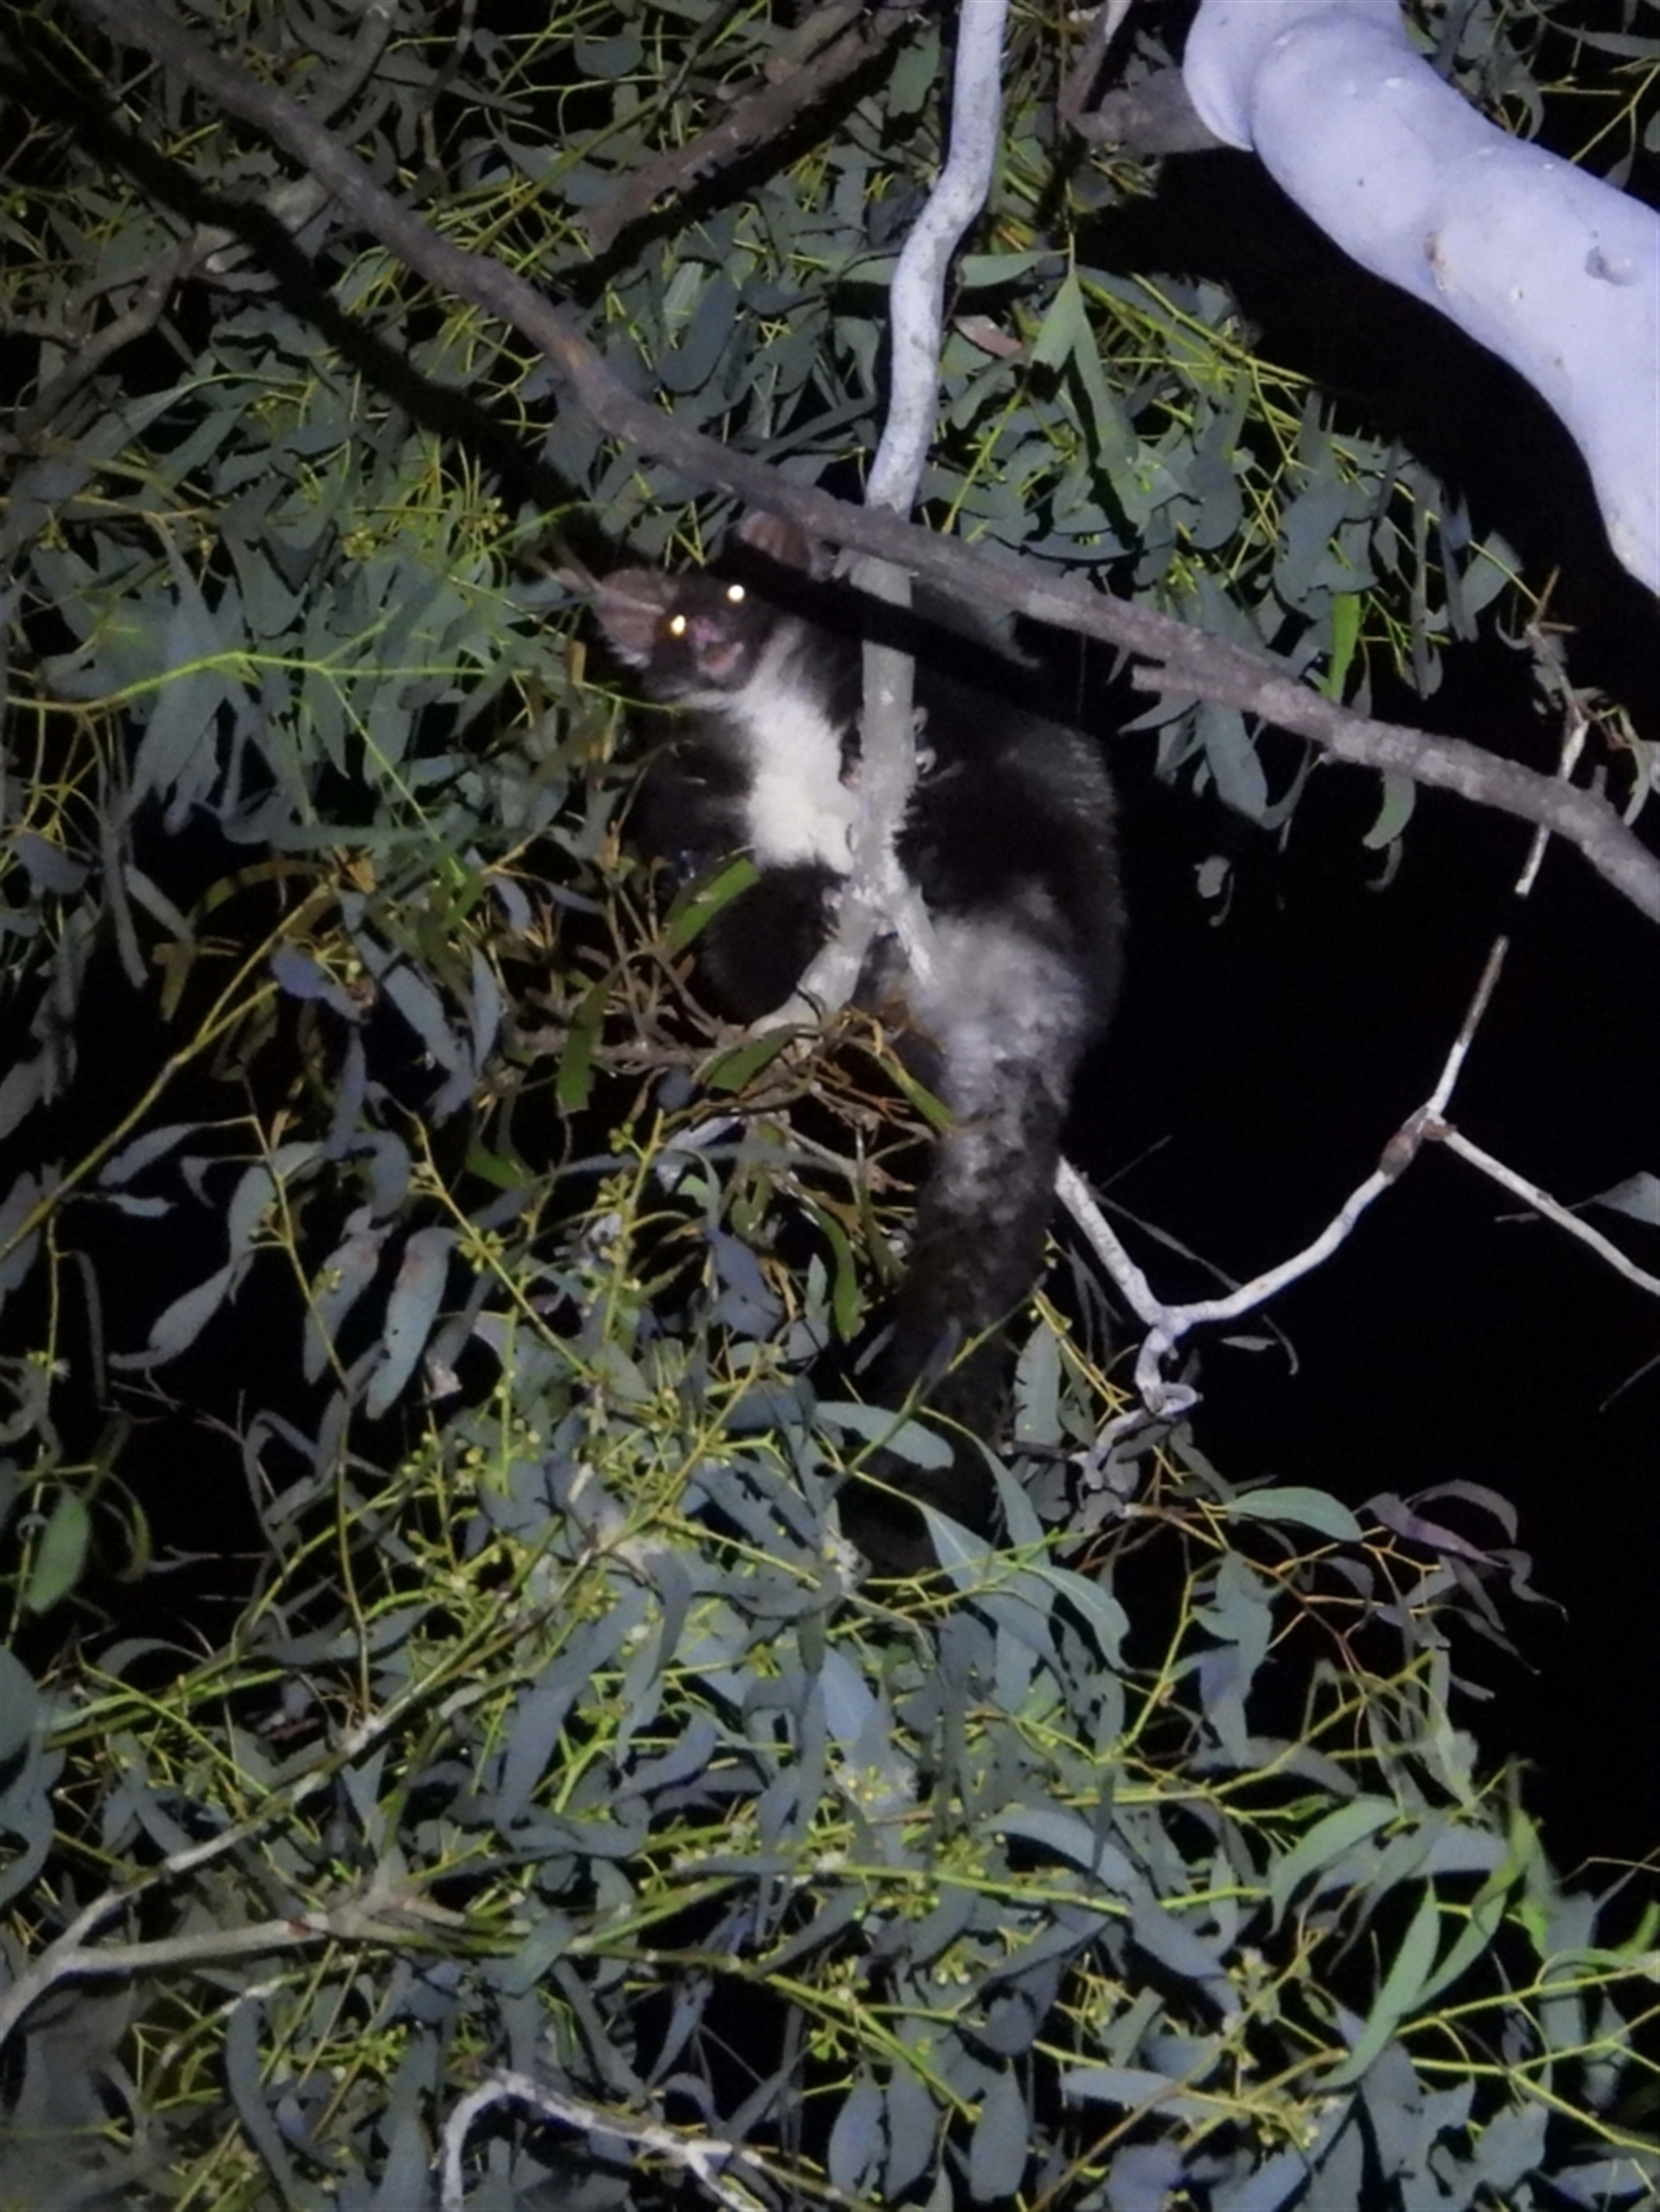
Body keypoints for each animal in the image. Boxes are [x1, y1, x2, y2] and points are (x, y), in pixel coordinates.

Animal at [594, 510, 1123, 1572]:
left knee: (1006, 802)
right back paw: (838, 912)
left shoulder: (899, 651)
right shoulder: (703, 788)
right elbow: (702, 855)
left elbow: (958, 691)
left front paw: (870, 755)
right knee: (754, 928)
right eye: (674, 622)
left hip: (1047, 866)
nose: (712, 637)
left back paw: (928, 842)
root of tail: (1011, 1001)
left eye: (743, 594)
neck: (764, 705)